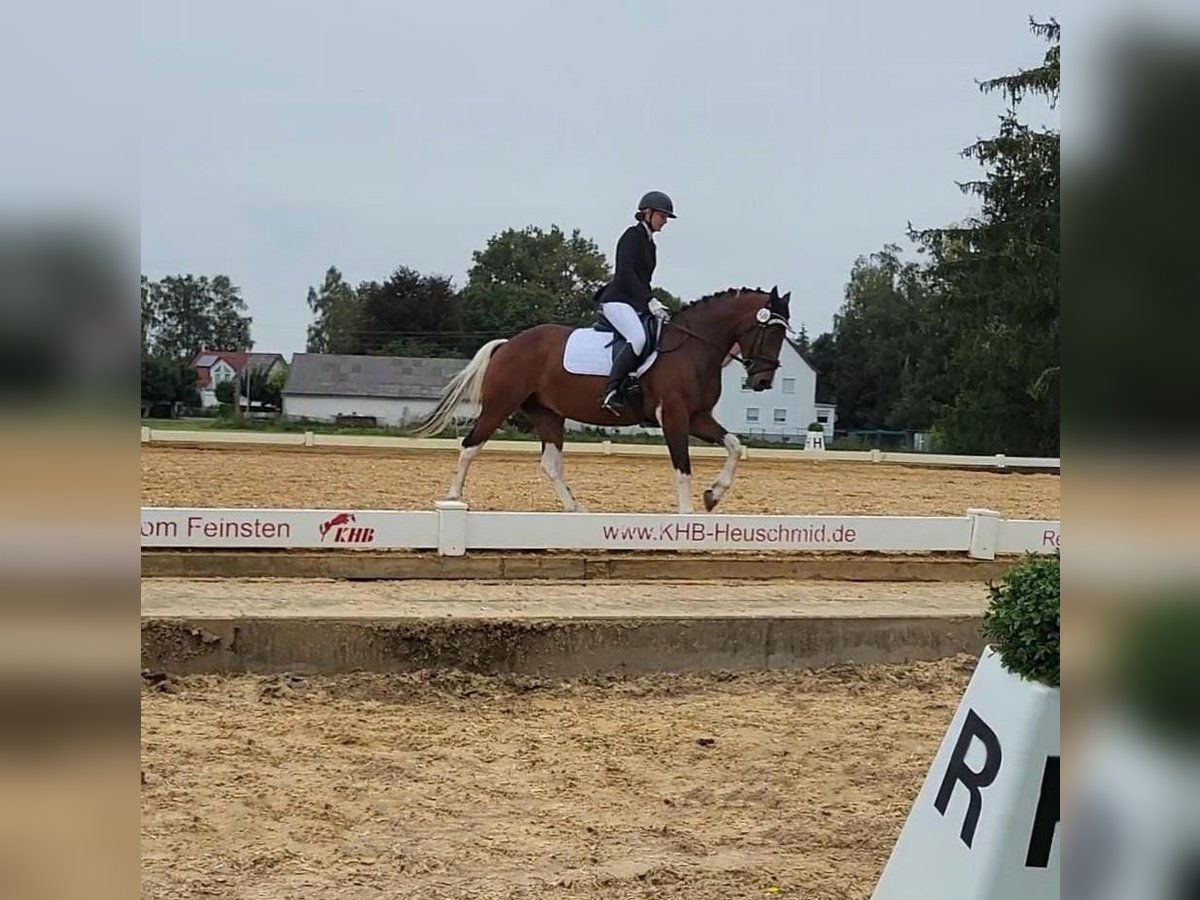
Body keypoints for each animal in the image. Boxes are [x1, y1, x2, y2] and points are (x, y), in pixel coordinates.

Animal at [408, 289, 792, 513]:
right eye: (769, 330)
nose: (762, 381)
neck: (693, 348)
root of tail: (509, 344)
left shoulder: (697, 417)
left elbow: (735, 445)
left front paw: (713, 495)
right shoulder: (674, 416)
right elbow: (683, 467)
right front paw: (688, 516)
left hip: (548, 414)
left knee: (550, 464)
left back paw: (575, 510)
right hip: (499, 406)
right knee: (469, 446)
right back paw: (453, 497)